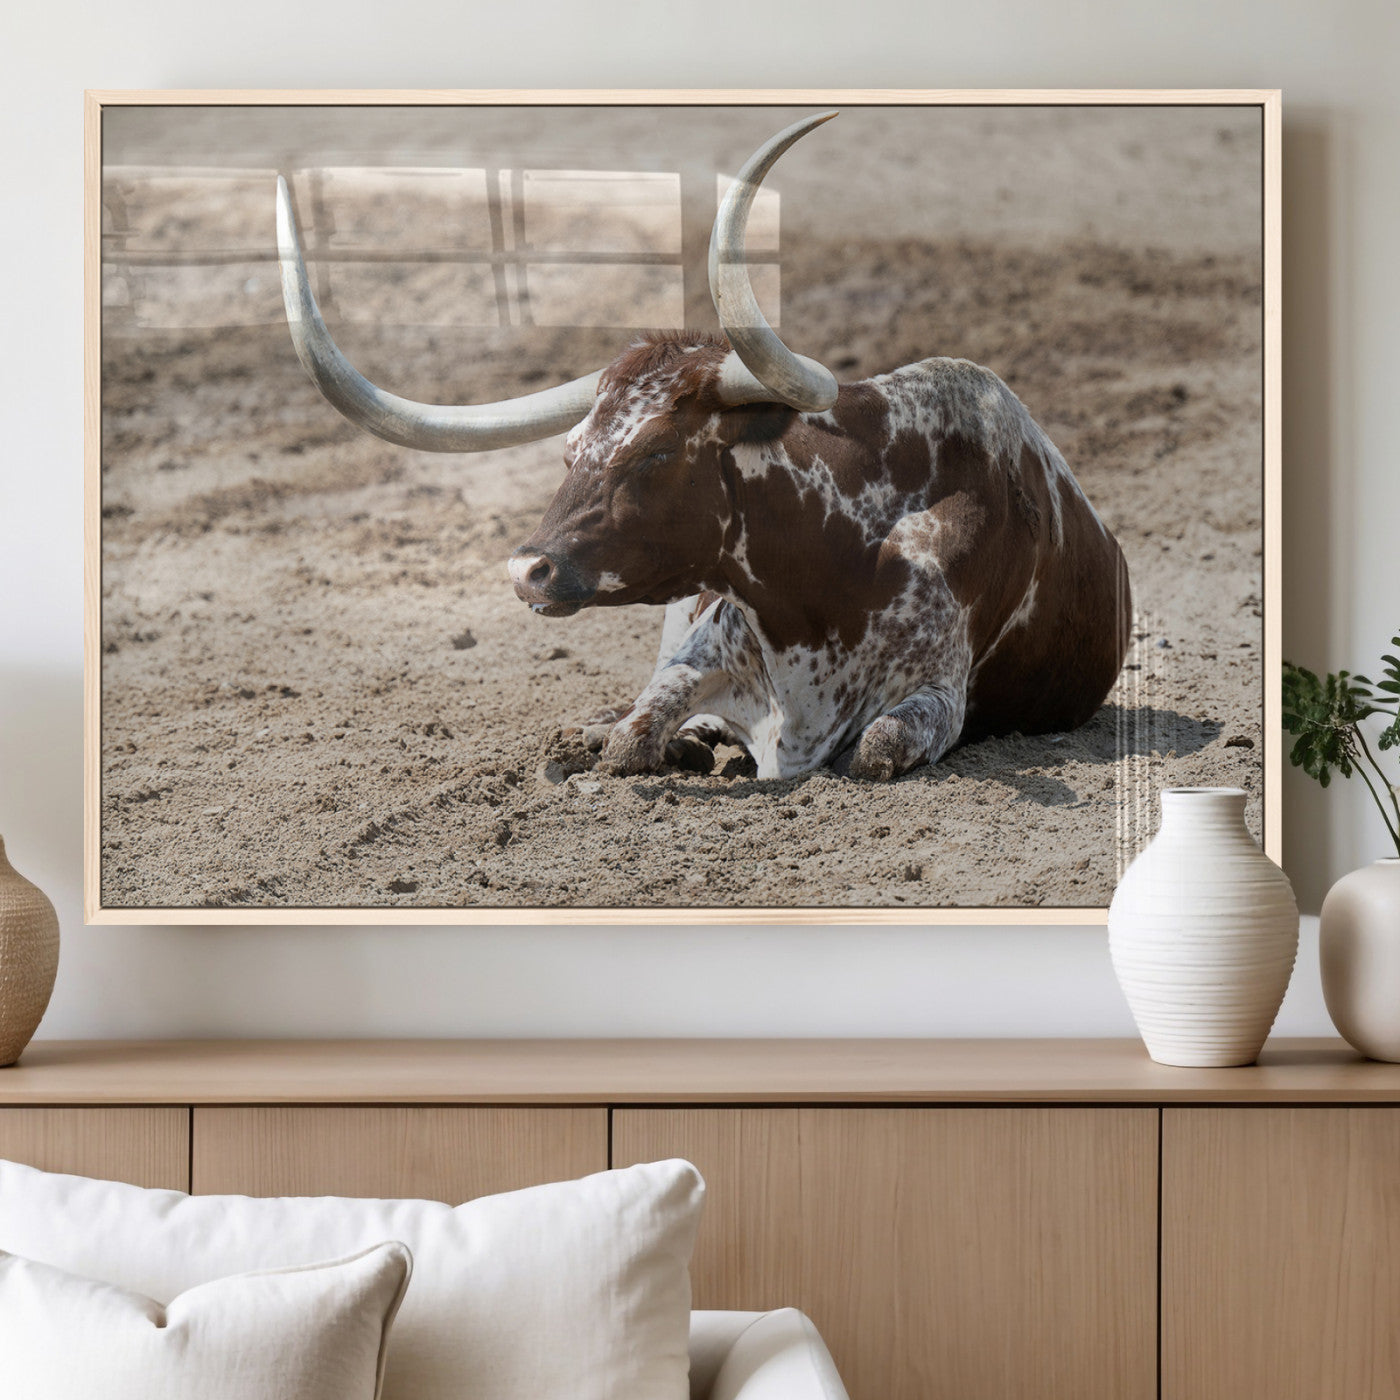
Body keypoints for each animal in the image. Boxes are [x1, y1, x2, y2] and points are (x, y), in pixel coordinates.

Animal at [276, 112, 1131, 782]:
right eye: (571, 450)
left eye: (656, 452)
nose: (527, 570)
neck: (831, 574)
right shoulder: (701, 648)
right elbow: (634, 735)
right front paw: (648, 739)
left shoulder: (937, 697)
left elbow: (879, 746)